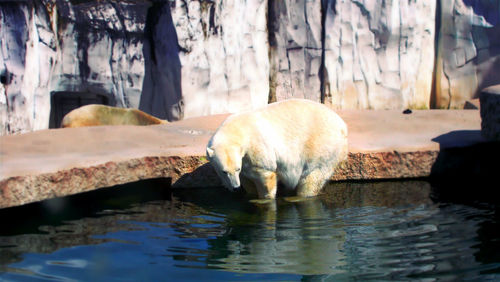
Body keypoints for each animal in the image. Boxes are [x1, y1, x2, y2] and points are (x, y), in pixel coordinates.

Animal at [207, 98, 348, 199]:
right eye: (224, 171)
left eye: (236, 169)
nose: (236, 188)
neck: (238, 128)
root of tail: (343, 126)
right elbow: (247, 179)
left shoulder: (256, 148)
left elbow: (265, 175)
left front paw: (264, 198)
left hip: (321, 147)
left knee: (311, 177)